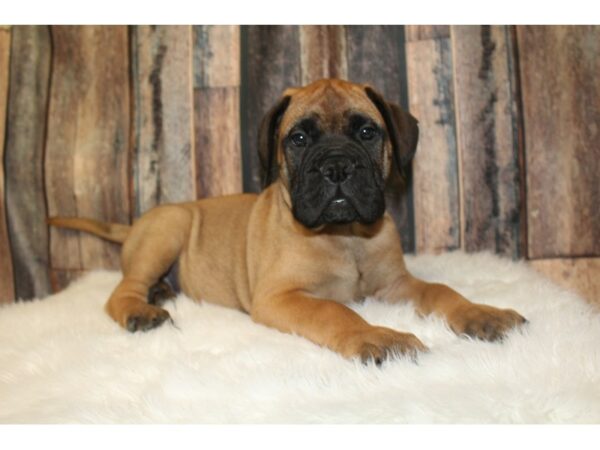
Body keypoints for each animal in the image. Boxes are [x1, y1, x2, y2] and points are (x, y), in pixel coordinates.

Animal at [49, 79, 524, 364]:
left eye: (367, 132)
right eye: (297, 139)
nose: (336, 167)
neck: (345, 236)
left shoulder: (395, 285)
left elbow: (441, 291)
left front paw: (482, 314)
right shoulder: (280, 297)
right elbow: (335, 311)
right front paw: (378, 337)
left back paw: (161, 292)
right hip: (169, 228)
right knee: (120, 291)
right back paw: (141, 310)